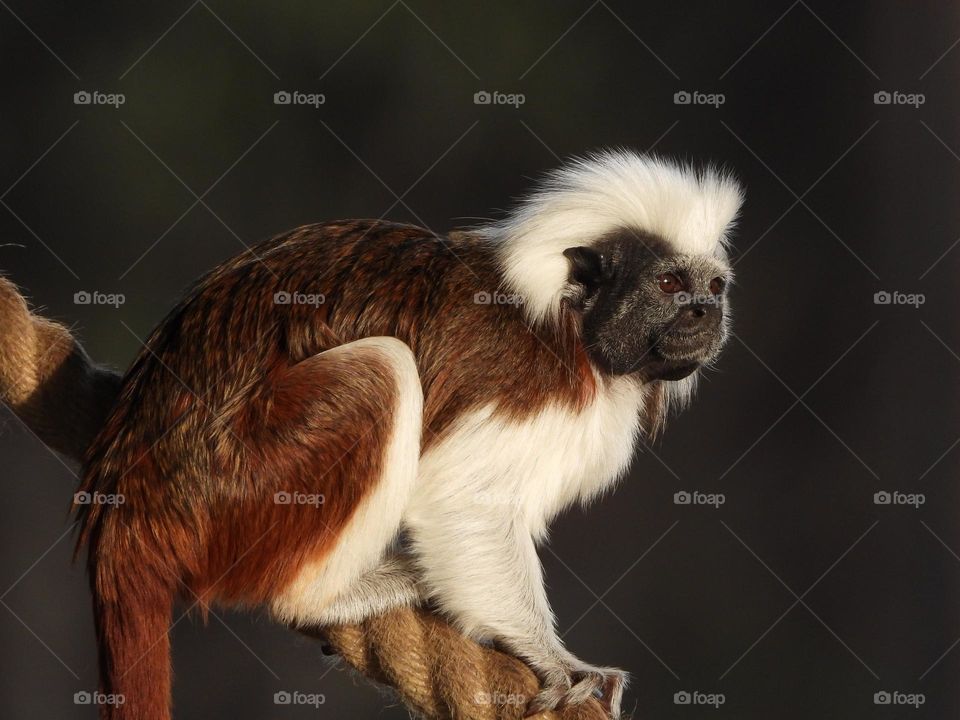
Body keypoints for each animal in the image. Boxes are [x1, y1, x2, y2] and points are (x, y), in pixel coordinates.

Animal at [74, 150, 742, 719]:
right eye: (668, 286)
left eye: (713, 288)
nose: (705, 314)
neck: (569, 324)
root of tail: (129, 507)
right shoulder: (525, 383)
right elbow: (465, 500)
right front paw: (555, 658)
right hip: (239, 489)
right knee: (382, 371)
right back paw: (320, 598)